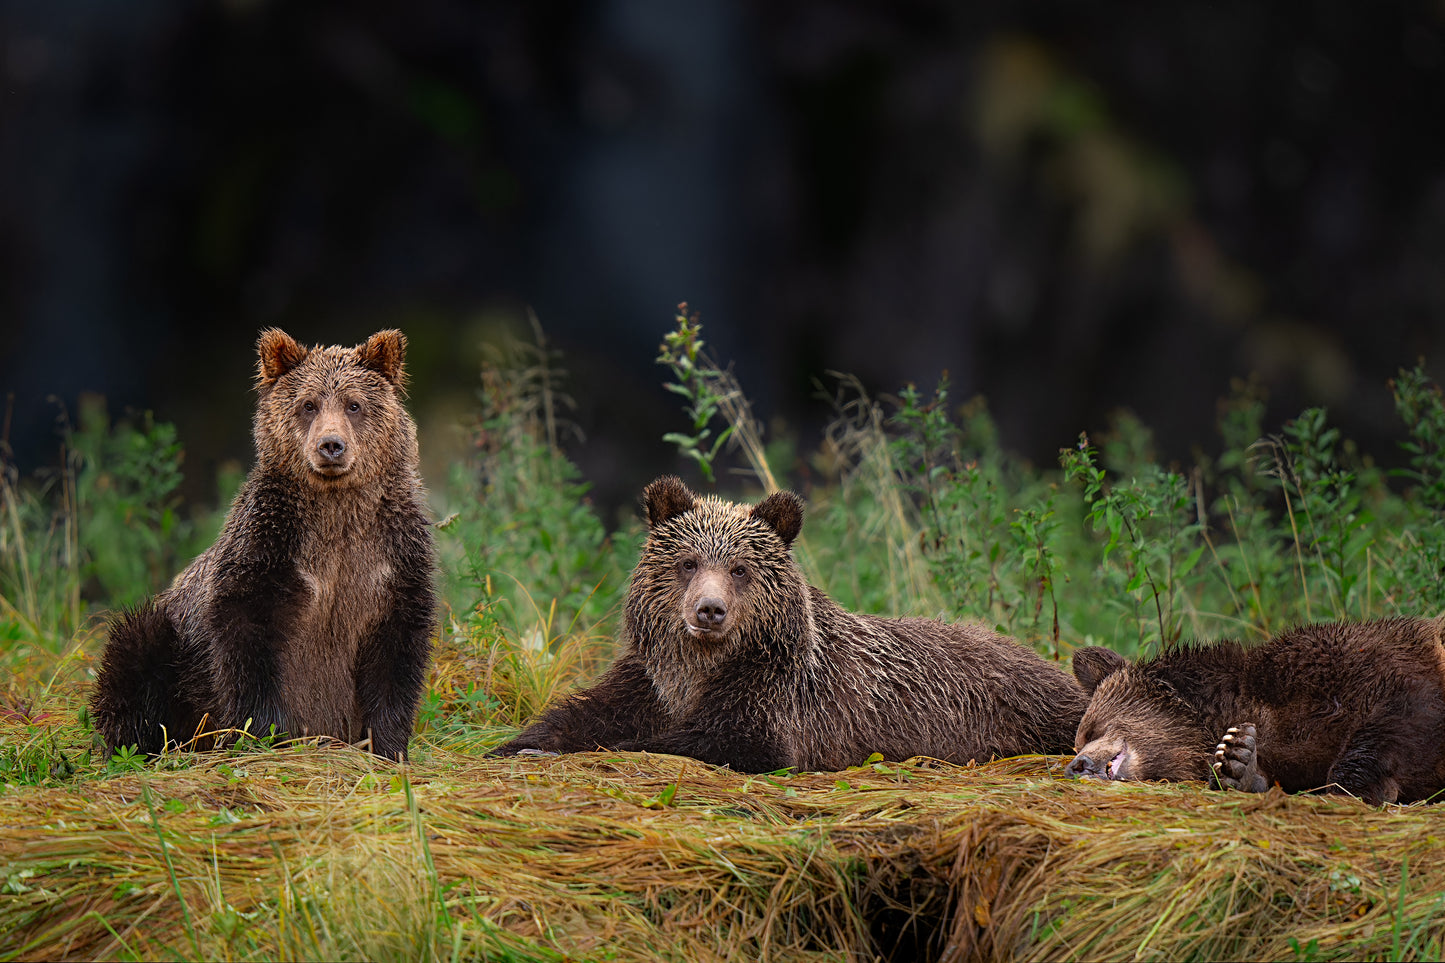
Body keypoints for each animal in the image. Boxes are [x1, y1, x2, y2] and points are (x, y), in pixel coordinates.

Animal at [89, 329, 433, 757]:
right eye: (308, 404)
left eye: (354, 404)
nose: (331, 445)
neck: (336, 510)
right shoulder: (267, 546)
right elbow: (247, 644)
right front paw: (266, 732)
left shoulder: (393, 557)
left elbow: (396, 655)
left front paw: (387, 745)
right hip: (169, 641)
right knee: (135, 654)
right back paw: (142, 741)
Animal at [491, 474, 1086, 775]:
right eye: (688, 562)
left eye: (739, 568)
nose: (709, 611)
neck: (700, 669)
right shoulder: (650, 679)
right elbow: (587, 712)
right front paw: (521, 744)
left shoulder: (779, 698)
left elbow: (720, 742)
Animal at [1063, 615, 1445, 803]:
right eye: (1078, 742)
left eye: (1093, 729)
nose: (1076, 765)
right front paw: (1238, 762)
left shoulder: (1356, 665)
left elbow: (1401, 713)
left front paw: (1354, 787)